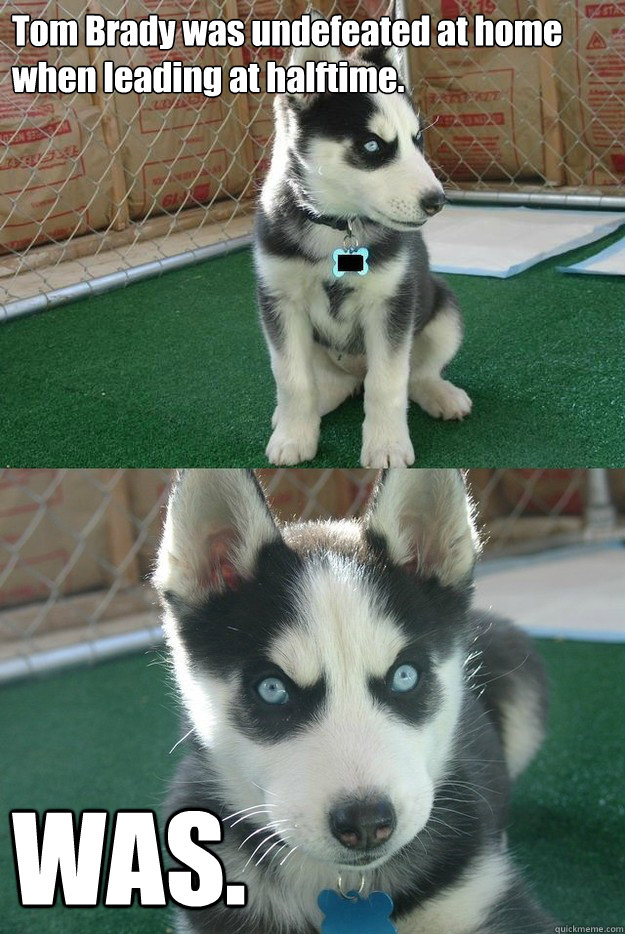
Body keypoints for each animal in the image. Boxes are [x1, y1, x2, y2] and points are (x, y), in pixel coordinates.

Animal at [251, 26, 470, 472]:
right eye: (372, 146)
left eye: (417, 139)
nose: (437, 202)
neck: (338, 225)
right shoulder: (280, 302)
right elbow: (292, 378)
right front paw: (293, 436)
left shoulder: (391, 304)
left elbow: (387, 383)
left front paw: (386, 445)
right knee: (332, 384)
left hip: (444, 312)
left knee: (414, 375)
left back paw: (440, 394)